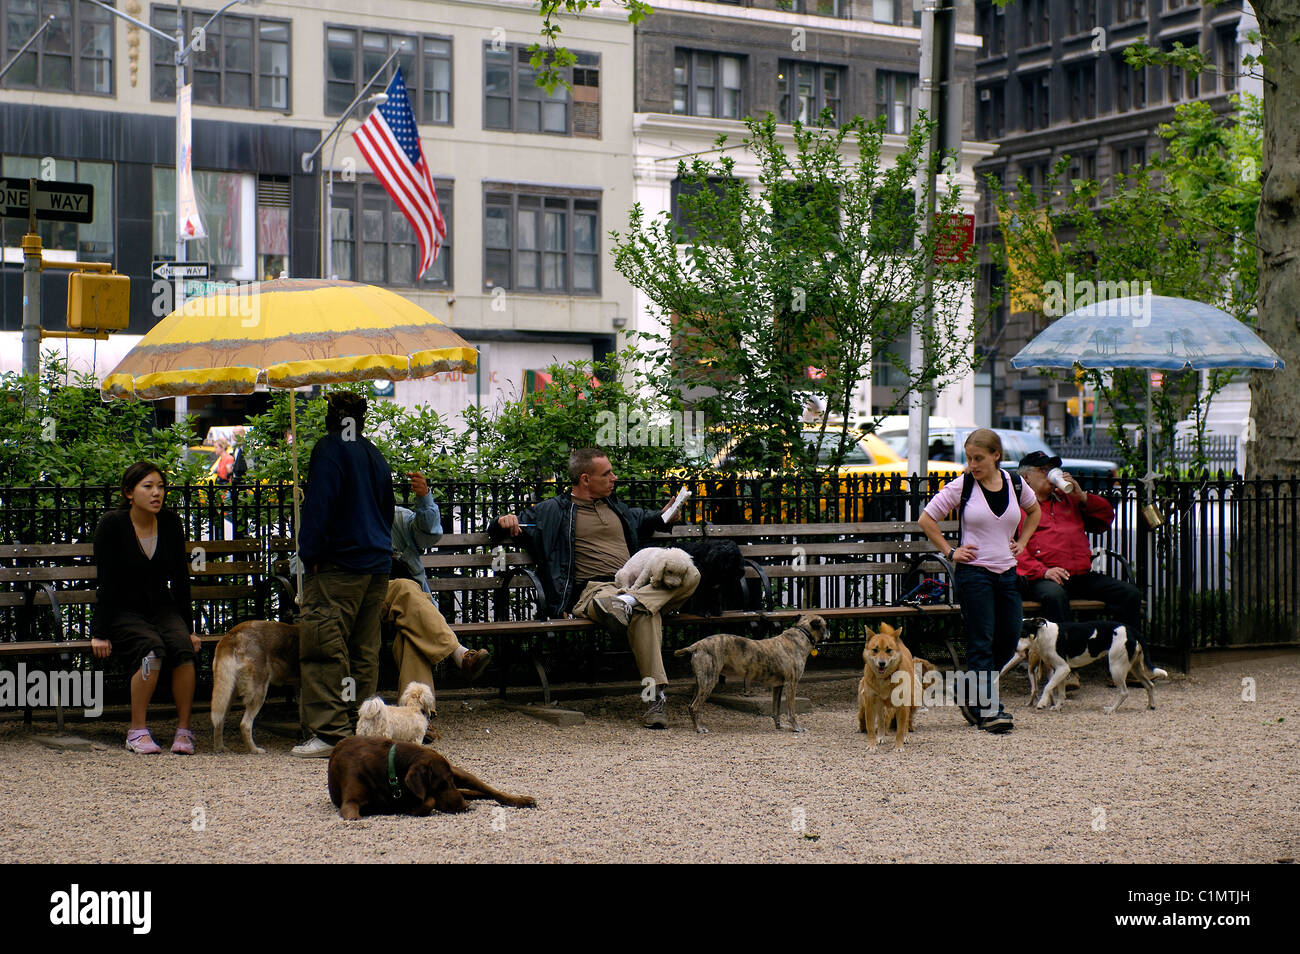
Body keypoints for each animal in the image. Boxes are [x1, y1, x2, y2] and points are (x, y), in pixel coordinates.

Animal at [327, 738, 535, 821]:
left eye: (448, 782)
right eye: (441, 783)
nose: (465, 806)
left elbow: (427, 802)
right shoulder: (351, 802)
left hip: (461, 773)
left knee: (491, 791)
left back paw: (522, 800)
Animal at [676, 616, 826, 738]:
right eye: (825, 625)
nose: (829, 632)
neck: (801, 635)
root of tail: (697, 645)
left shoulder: (778, 686)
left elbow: (776, 709)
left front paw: (778, 726)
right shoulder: (791, 684)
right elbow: (791, 711)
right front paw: (796, 728)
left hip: (700, 683)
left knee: (690, 705)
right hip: (708, 682)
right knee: (694, 706)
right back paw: (699, 729)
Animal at [998, 621, 1175, 717]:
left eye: (1023, 632)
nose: (1013, 648)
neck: (1045, 636)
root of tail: (1132, 629)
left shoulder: (1063, 668)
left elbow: (1048, 687)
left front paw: (1042, 703)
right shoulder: (1059, 671)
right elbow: (1060, 692)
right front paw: (1057, 707)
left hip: (1116, 668)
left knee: (1124, 692)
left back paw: (1111, 710)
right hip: (1135, 668)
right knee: (1149, 685)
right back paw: (1150, 706)